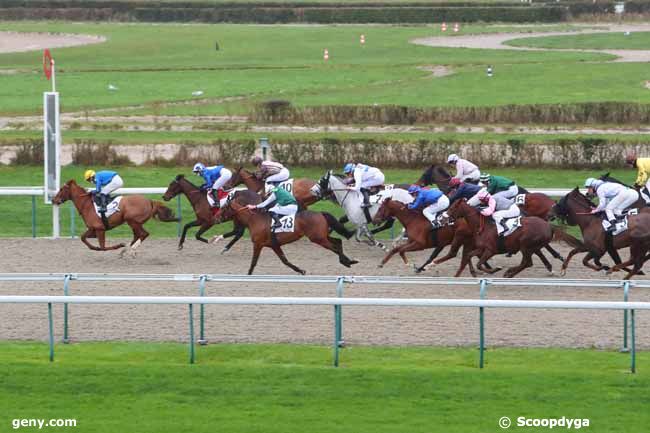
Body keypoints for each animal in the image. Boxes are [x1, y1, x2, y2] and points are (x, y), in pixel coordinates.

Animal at [218, 199, 360, 274]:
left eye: (223, 208)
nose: (217, 217)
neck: (254, 220)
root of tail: (320, 213)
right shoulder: (274, 245)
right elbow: (284, 260)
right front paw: (300, 270)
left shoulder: (258, 244)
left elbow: (254, 262)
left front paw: (248, 274)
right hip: (322, 236)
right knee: (338, 241)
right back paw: (347, 261)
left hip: (318, 238)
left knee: (335, 247)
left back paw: (347, 261)